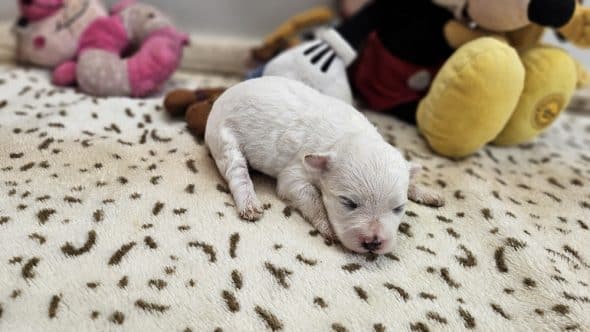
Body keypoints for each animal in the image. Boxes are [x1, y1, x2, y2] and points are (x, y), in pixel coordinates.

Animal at [206, 76, 446, 253]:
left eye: (399, 208)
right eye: (348, 203)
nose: (373, 242)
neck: (347, 137)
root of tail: (226, 93)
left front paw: (426, 192)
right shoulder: (295, 173)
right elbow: (310, 197)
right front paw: (328, 226)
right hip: (224, 138)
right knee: (236, 172)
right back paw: (249, 203)